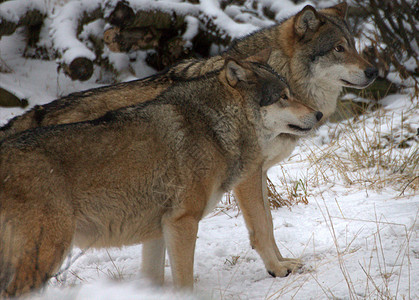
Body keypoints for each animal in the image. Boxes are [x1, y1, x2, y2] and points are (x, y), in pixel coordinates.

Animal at [0, 54, 324, 298]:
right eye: (283, 97)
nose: (319, 114)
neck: (214, 126)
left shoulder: (157, 230)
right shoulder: (183, 222)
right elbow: (258, 229)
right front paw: (278, 269)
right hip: (46, 255)